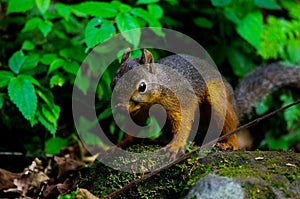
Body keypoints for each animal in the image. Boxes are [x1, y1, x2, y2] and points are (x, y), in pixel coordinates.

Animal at [110, 47, 300, 159]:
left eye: (142, 87)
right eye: (113, 83)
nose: (118, 107)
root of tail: (234, 103)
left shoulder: (180, 98)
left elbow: (184, 119)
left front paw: (174, 147)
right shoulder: (140, 110)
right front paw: (122, 143)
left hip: (218, 100)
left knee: (230, 126)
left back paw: (230, 143)